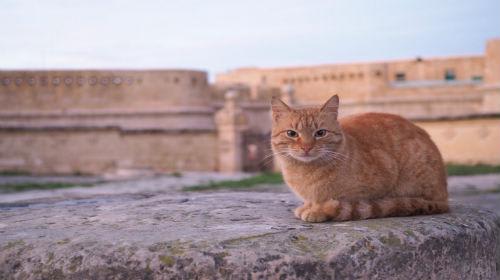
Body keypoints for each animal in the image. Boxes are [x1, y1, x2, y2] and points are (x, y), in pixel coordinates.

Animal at [272, 95, 452, 222]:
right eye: (292, 134)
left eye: (320, 133)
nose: (307, 147)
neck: (305, 173)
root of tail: (445, 198)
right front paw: (308, 207)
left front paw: (317, 211)